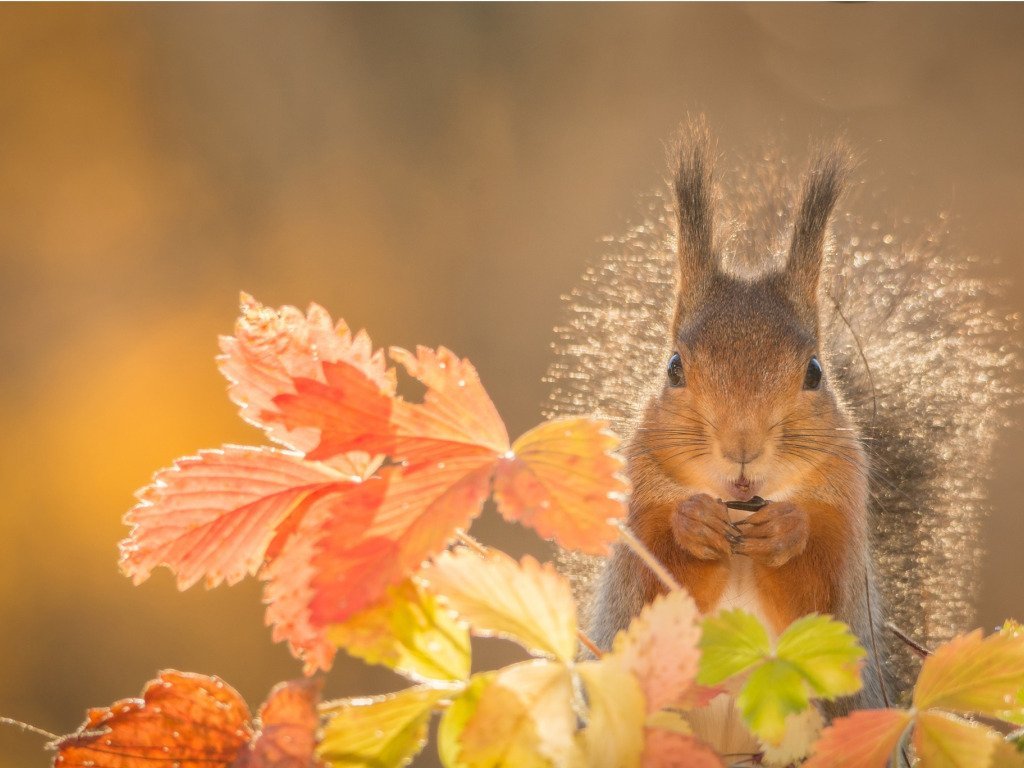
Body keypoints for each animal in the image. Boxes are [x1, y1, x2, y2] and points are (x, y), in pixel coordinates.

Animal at [544, 120, 1015, 757]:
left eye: (814, 371)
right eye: (673, 367)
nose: (742, 448)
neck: (741, 506)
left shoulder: (845, 534)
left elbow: (818, 603)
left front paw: (786, 530)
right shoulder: (634, 530)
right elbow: (654, 592)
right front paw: (693, 523)